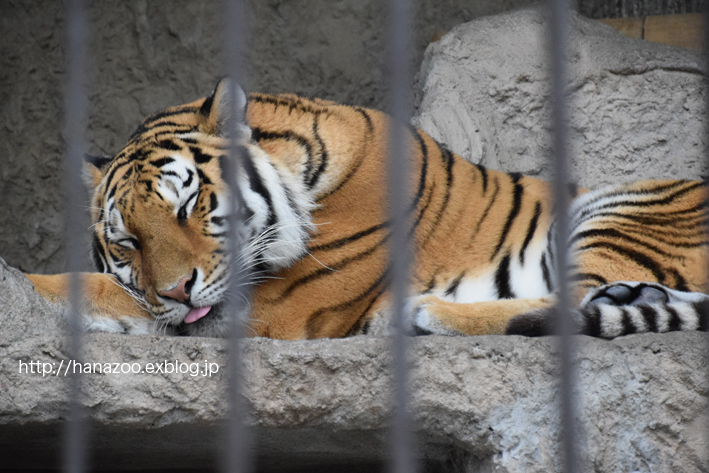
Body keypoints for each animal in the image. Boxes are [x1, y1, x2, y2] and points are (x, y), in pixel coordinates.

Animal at [23, 78, 708, 340]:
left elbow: (93, 289)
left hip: (617, 210)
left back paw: (423, 313)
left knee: (575, 303)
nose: (176, 292)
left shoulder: (278, 307)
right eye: (127, 241)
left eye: (191, 204)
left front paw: (23, 283)